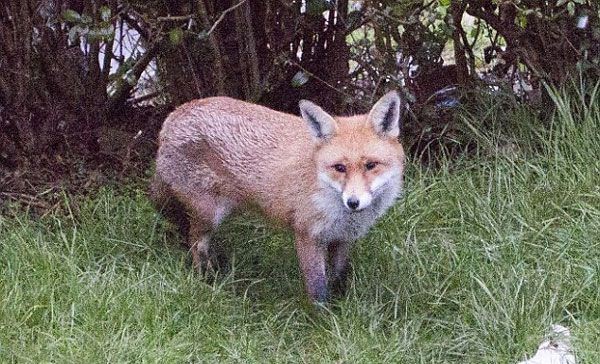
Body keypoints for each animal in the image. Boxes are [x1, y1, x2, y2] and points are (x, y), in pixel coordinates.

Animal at [150, 91, 406, 304]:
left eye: (371, 165)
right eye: (339, 168)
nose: (353, 202)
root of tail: (173, 115)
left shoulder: (343, 238)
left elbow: (337, 276)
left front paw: (341, 307)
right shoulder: (307, 234)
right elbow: (318, 288)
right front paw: (323, 324)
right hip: (209, 214)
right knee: (196, 244)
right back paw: (208, 281)